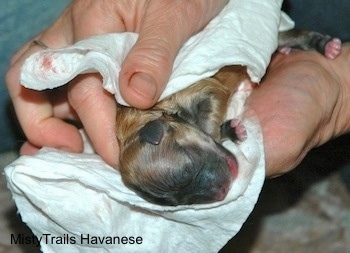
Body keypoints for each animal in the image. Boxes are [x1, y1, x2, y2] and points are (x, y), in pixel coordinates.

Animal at [115, 29, 342, 206]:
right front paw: (231, 130)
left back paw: (325, 45)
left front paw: (218, 132)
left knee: (288, 36)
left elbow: (209, 118)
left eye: (189, 166)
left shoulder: (203, 90)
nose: (222, 192)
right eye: (178, 202)